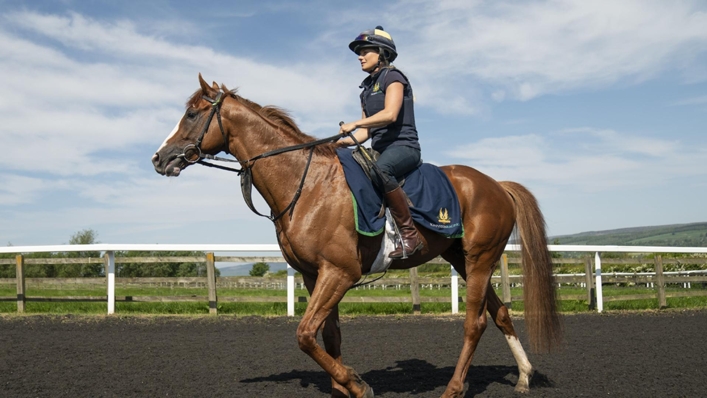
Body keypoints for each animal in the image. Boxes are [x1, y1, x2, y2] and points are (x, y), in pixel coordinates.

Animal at [152, 75, 560, 398]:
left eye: (192, 114)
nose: (159, 158)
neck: (305, 183)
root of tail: (497, 185)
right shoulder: (314, 274)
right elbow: (329, 336)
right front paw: (342, 387)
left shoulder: (339, 272)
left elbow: (305, 333)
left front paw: (357, 384)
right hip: (462, 259)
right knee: (500, 313)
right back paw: (524, 376)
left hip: (479, 259)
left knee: (474, 323)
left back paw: (454, 389)